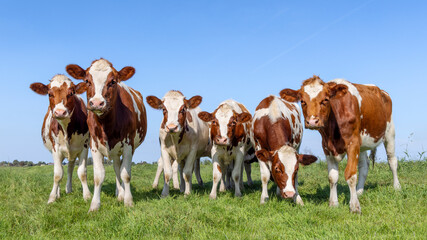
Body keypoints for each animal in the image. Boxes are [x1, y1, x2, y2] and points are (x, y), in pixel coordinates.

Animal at [29, 74, 91, 203]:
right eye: (49, 94)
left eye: (71, 93)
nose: (60, 112)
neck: (66, 129)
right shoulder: (56, 148)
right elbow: (57, 174)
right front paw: (52, 197)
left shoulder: (84, 146)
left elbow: (82, 172)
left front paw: (87, 196)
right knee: (61, 169)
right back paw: (58, 193)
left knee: (70, 168)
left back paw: (68, 189)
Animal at [66, 58, 147, 212]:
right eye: (87, 81)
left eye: (113, 81)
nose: (97, 103)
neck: (107, 125)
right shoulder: (94, 145)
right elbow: (99, 176)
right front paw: (94, 205)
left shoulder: (128, 145)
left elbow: (126, 174)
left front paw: (128, 201)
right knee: (116, 167)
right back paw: (119, 193)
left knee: (120, 169)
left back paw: (122, 194)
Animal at [280, 76, 402, 213]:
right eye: (302, 101)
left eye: (325, 99)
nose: (312, 121)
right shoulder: (327, 147)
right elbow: (332, 176)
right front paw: (333, 203)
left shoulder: (353, 143)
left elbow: (351, 175)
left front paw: (354, 206)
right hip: (363, 143)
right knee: (364, 166)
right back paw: (359, 191)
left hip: (389, 133)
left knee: (392, 161)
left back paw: (397, 187)